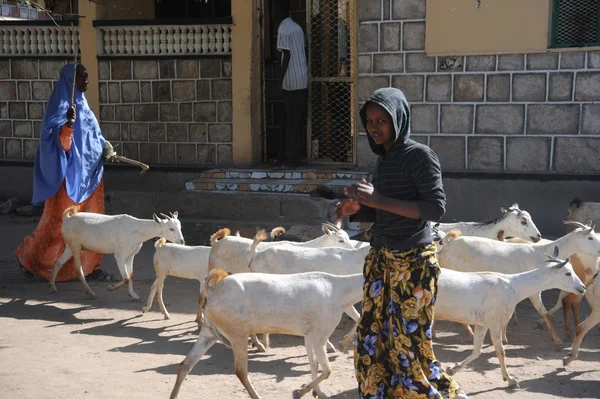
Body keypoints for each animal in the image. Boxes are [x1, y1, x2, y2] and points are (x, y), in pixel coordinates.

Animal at [49, 206, 183, 300]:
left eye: (180, 227)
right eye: (171, 228)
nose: (182, 241)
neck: (137, 229)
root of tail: (67, 218)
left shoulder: (130, 255)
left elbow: (131, 275)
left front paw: (133, 295)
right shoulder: (120, 256)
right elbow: (126, 278)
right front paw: (110, 288)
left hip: (69, 247)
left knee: (58, 261)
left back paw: (53, 287)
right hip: (76, 246)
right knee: (78, 269)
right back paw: (91, 293)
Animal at [169, 268, 360, 399]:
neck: (338, 291)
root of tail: (214, 288)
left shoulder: (309, 336)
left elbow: (314, 365)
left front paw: (317, 393)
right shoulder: (320, 336)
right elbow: (327, 369)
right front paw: (298, 392)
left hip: (208, 334)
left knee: (185, 365)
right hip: (238, 335)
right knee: (241, 371)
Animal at [434, 248, 584, 386]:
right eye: (568, 273)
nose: (582, 287)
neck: (512, 286)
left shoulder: (482, 325)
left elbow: (477, 351)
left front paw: (452, 369)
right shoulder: (495, 324)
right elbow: (501, 351)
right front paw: (510, 379)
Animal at [436, 223, 600, 346]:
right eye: (590, 237)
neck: (540, 254)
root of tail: (447, 245)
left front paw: (504, 337)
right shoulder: (533, 292)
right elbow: (545, 313)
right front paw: (557, 340)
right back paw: (468, 332)